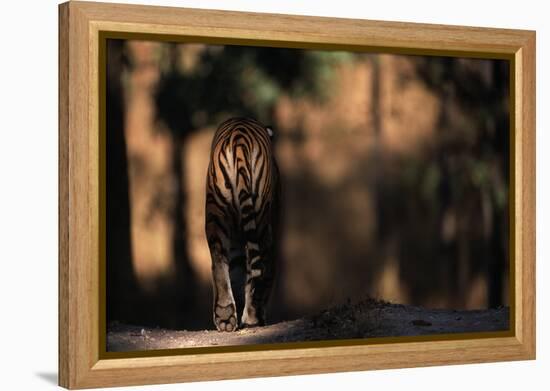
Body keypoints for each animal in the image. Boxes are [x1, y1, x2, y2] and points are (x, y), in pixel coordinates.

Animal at [207, 118, 284, 332]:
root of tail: (239, 137)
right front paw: (254, 316)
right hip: (261, 220)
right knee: (257, 267)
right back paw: (251, 317)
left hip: (216, 213)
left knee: (219, 259)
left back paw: (225, 317)